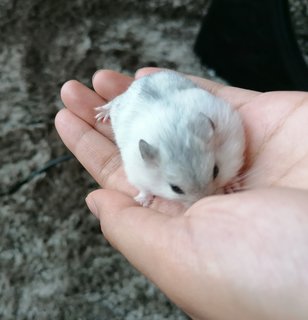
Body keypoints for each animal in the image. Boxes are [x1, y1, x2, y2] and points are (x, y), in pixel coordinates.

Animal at [95, 70, 244, 206]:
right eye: (175, 189)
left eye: (216, 171)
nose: (204, 200)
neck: (175, 136)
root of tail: (142, 79)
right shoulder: (137, 175)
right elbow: (145, 189)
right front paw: (142, 202)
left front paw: (233, 186)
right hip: (119, 105)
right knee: (114, 101)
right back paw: (101, 114)